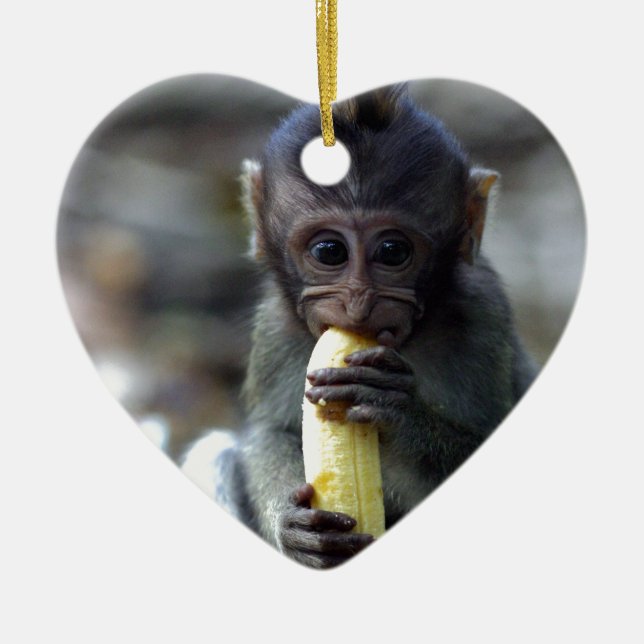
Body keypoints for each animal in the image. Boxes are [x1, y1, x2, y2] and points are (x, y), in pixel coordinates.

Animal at [181, 84, 538, 569]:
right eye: (329, 251)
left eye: (392, 251)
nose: (359, 303)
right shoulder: (276, 327)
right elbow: (269, 433)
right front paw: (289, 521)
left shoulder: (483, 318)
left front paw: (395, 409)